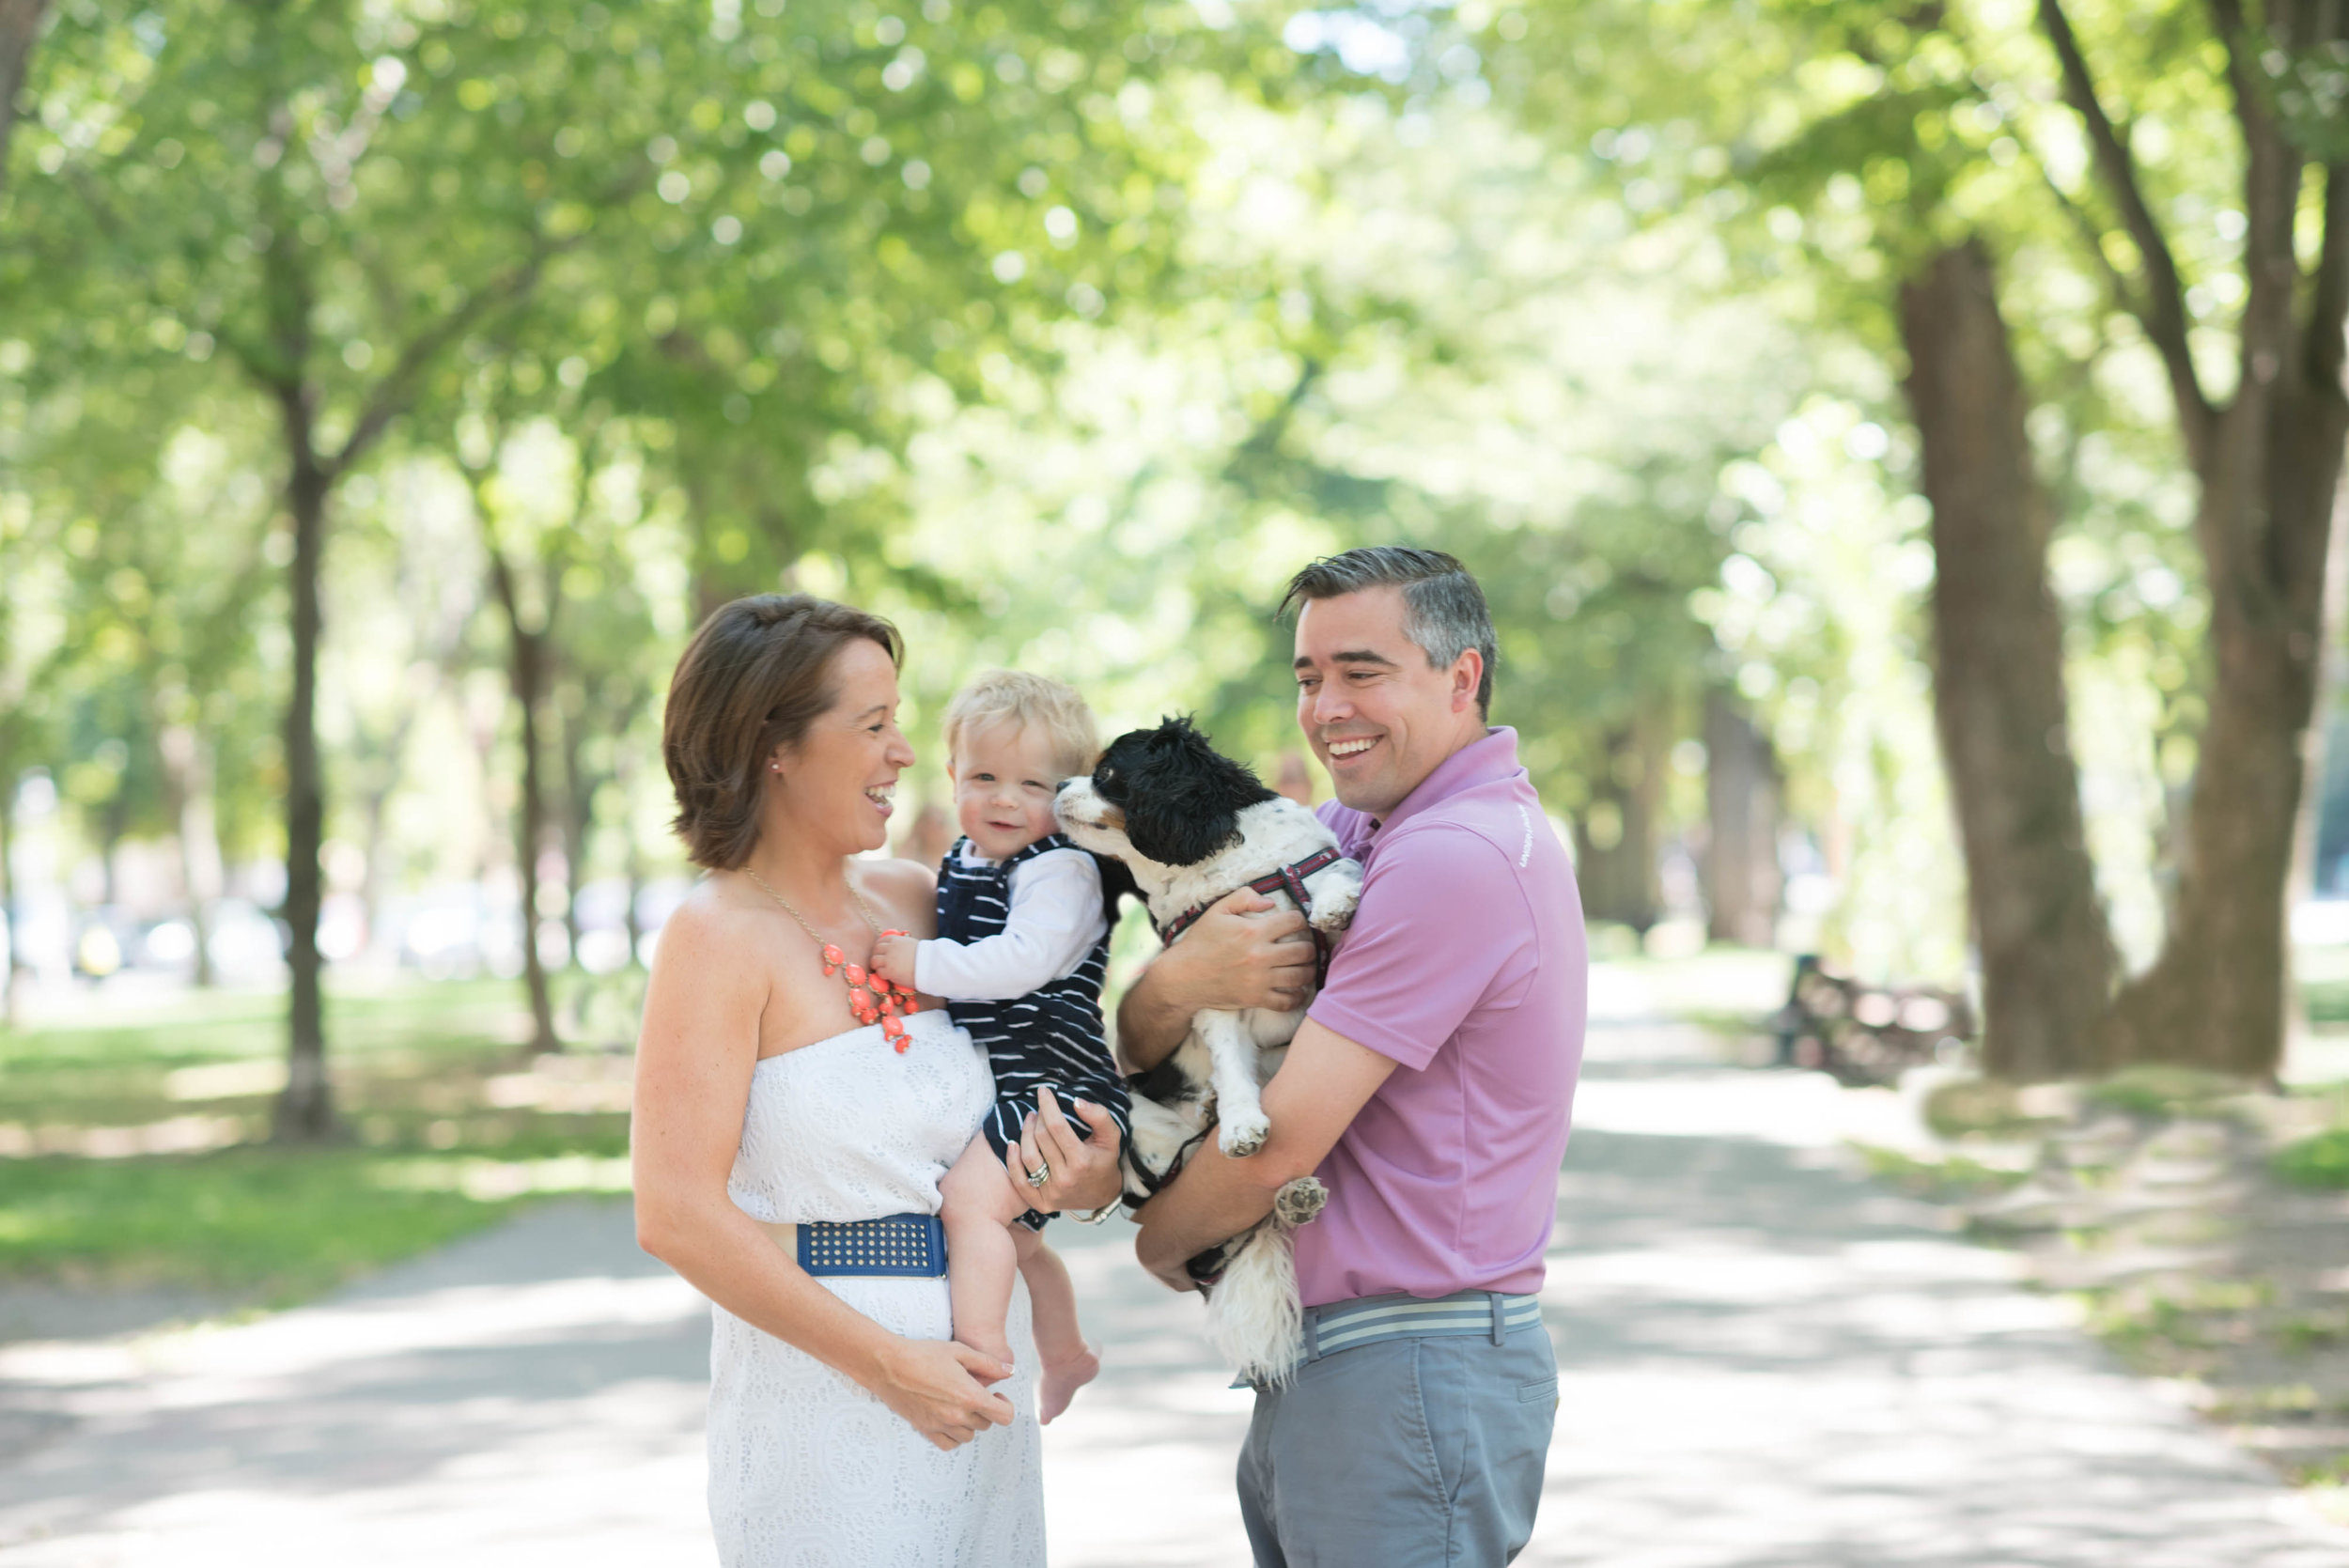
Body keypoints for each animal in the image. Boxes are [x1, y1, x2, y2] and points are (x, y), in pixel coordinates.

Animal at [1062, 718, 1372, 1380]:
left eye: (1106, 773)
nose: (1056, 785)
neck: (1222, 858)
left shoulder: (1310, 874)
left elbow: (1335, 875)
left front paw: (1334, 906)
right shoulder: (1215, 986)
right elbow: (1231, 1066)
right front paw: (1240, 1123)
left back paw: (1294, 1196)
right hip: (1133, 1115)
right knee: (1174, 1173)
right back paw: (1213, 1125)